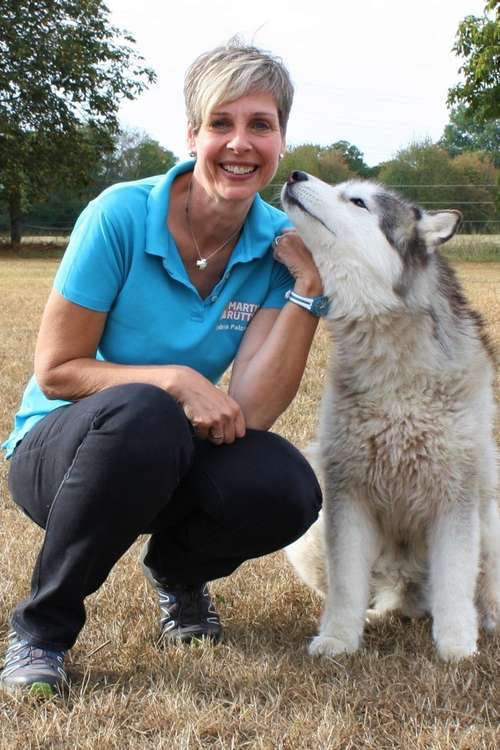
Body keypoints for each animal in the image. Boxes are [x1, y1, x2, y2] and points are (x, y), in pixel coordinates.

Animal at [284, 172, 498, 664]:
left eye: (358, 201)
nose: (295, 175)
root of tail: (407, 595)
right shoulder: (347, 495)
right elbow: (346, 584)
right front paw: (339, 639)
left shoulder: (455, 498)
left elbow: (456, 583)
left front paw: (457, 646)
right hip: (310, 535)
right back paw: (376, 614)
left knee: (480, 589)